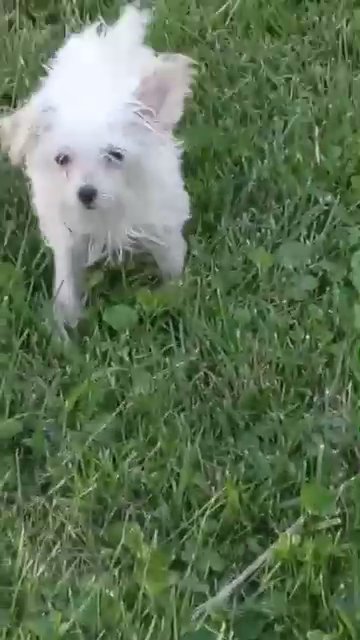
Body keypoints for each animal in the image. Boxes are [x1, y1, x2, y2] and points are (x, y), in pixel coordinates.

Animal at [0, 5, 194, 332]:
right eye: (62, 159)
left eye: (115, 155)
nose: (86, 193)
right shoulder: (67, 232)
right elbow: (66, 280)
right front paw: (64, 326)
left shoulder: (161, 218)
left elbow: (171, 260)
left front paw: (177, 293)